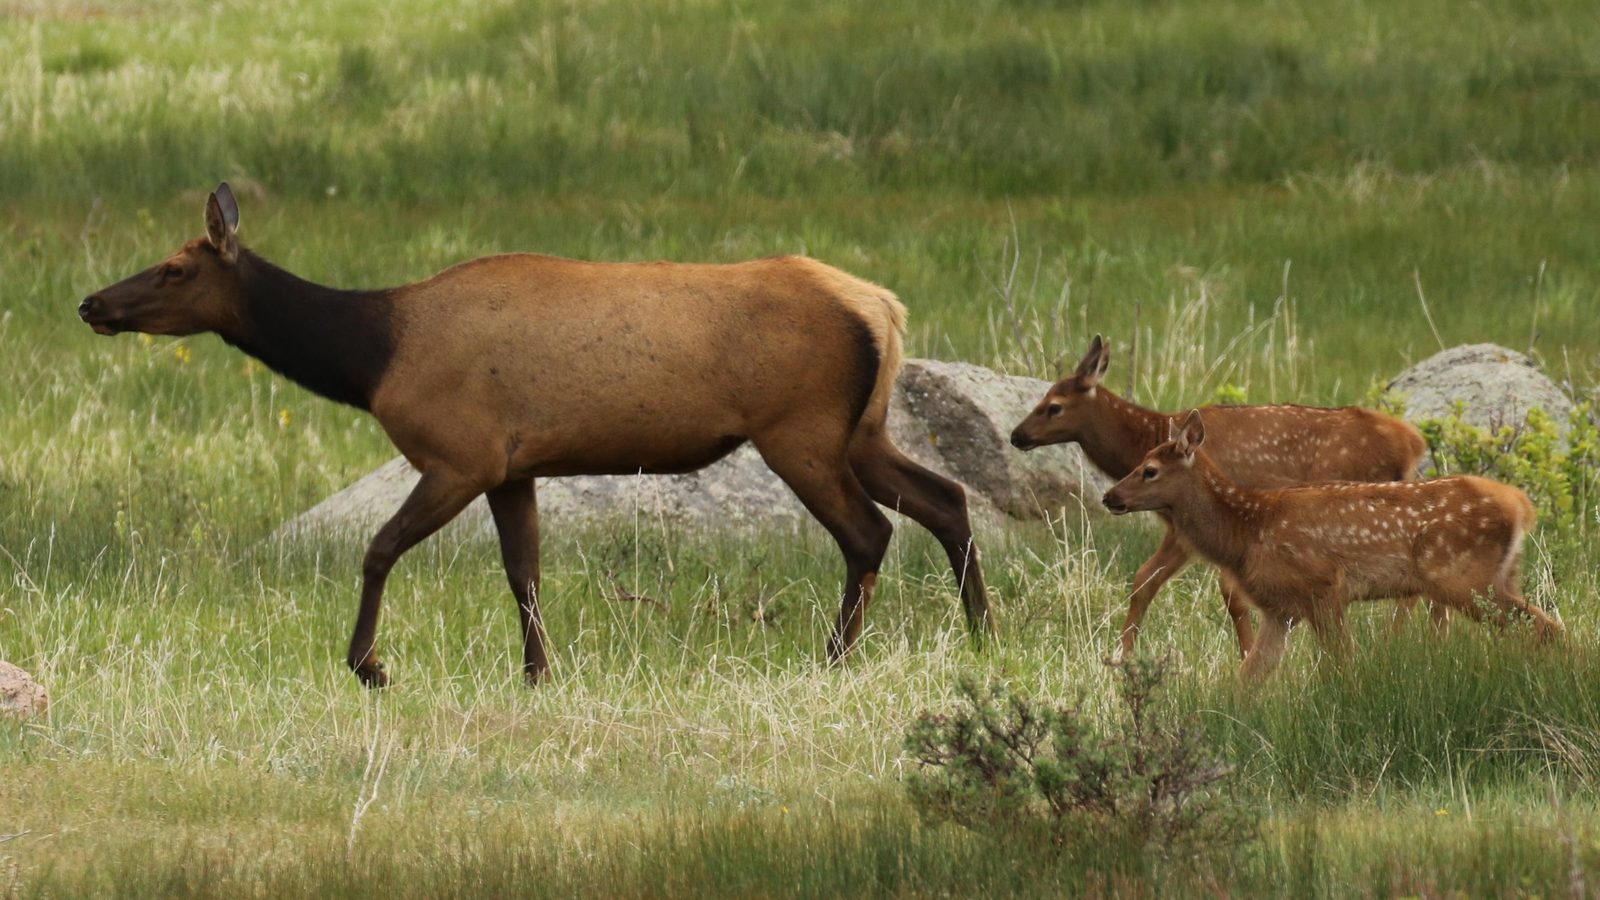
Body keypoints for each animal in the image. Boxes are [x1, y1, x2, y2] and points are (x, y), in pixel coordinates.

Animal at [77, 183, 994, 688]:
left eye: (174, 268)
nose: (92, 302)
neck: (371, 358)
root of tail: (885, 308)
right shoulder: (512, 467)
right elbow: (525, 573)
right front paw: (538, 673)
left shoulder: (460, 451)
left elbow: (379, 547)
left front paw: (370, 664)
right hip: (860, 428)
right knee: (947, 500)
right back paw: (983, 636)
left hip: (799, 428)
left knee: (869, 532)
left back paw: (834, 658)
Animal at [1010, 335, 1428, 659]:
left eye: (1053, 406)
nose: (1016, 435)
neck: (1147, 436)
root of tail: (1412, 442)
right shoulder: (1181, 526)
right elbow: (1144, 580)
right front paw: (1121, 654)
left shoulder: (1196, 525)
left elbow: (1216, 591)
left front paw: (1245, 651)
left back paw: (1392, 641)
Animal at [1101, 410, 1560, 682]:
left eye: (1149, 470)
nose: (1109, 496)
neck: (1248, 532)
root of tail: (1521, 504)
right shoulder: (1280, 609)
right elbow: (1248, 679)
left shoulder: (1322, 588)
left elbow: (1344, 663)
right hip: (1501, 576)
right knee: (1539, 625)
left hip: (1463, 578)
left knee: (1546, 626)